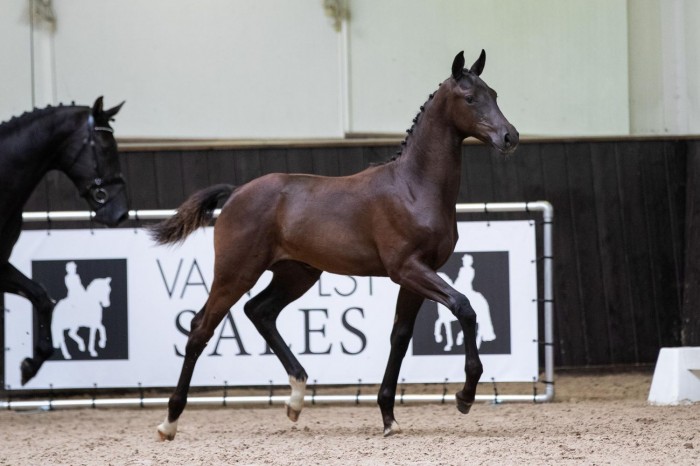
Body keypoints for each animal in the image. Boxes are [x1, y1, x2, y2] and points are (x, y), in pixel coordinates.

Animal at [150, 49, 516, 438]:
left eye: (494, 94)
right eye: (470, 98)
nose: (510, 137)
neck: (414, 187)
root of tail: (236, 193)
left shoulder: (417, 275)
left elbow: (400, 337)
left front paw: (388, 416)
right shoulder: (407, 269)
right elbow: (464, 307)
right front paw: (465, 395)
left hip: (297, 274)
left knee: (259, 311)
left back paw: (295, 400)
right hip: (236, 273)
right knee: (200, 328)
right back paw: (169, 421)